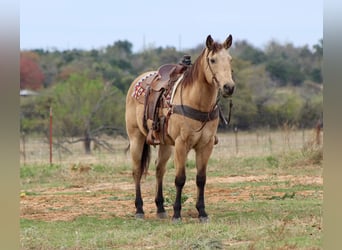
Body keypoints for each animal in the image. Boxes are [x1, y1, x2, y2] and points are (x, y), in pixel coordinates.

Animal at [125, 34, 235, 223]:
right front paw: (177, 214)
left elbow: (201, 179)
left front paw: (202, 212)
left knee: (159, 170)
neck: (197, 102)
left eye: (229, 59)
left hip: (165, 145)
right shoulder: (181, 145)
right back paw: (139, 209)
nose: (229, 87)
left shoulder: (205, 146)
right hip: (136, 138)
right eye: (212, 60)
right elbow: (180, 179)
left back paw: (160, 208)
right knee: (137, 171)